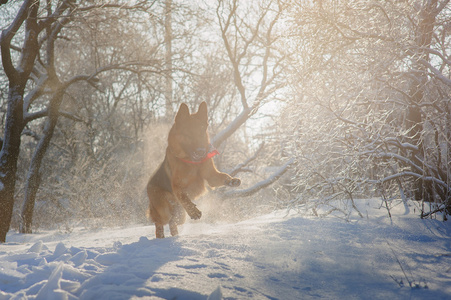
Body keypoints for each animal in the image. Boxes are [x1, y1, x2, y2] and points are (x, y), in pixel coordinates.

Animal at [147, 102, 240, 238]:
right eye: (188, 134)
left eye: (201, 133)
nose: (201, 151)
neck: (194, 163)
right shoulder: (177, 186)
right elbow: (184, 197)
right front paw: (194, 211)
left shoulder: (212, 177)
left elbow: (223, 176)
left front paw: (232, 181)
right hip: (164, 211)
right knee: (159, 223)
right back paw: (160, 239)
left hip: (180, 216)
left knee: (173, 223)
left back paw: (175, 237)